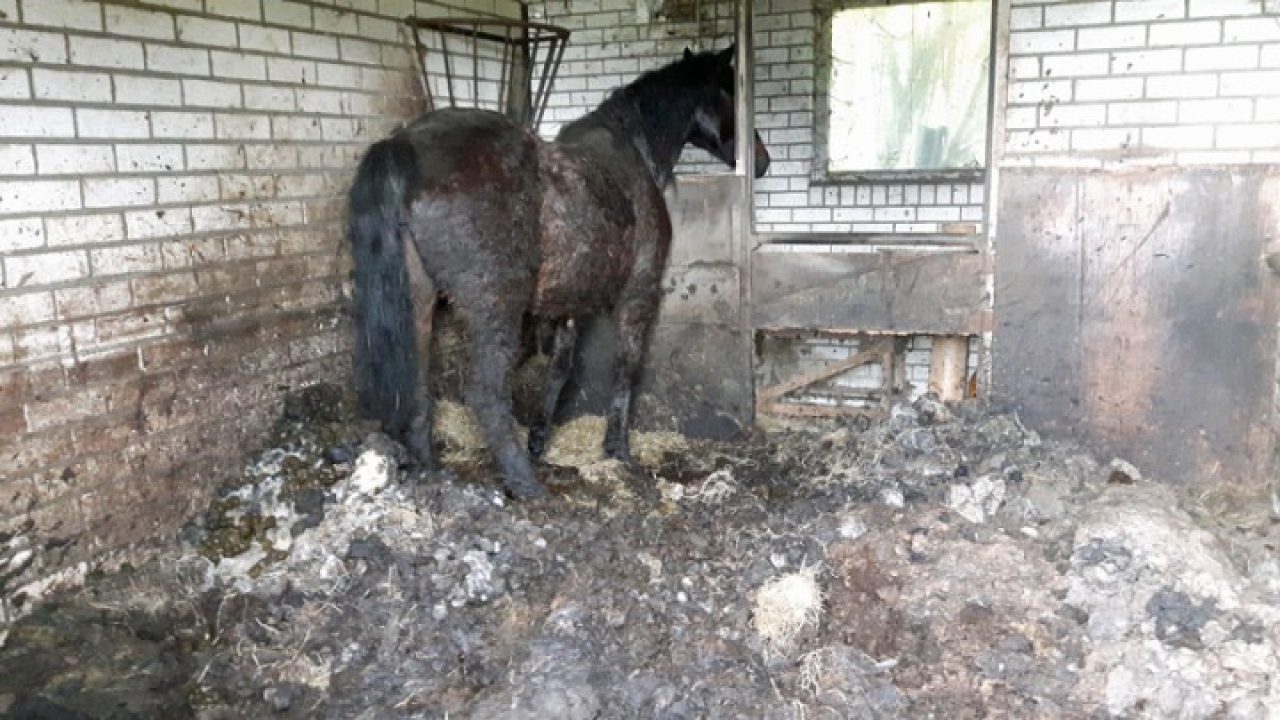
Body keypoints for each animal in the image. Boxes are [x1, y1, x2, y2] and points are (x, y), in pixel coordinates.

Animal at [347, 45, 770, 499]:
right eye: (730, 89)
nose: (762, 162)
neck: (631, 152)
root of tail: (404, 145)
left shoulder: (571, 303)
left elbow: (559, 370)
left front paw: (540, 439)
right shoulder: (639, 293)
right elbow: (626, 368)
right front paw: (618, 451)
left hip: (421, 299)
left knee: (419, 381)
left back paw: (432, 467)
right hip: (494, 307)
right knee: (485, 393)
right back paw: (525, 483)